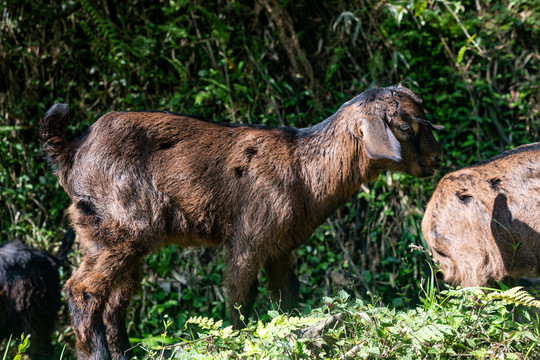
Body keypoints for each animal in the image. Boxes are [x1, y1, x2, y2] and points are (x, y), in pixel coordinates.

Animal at [41, 83, 442, 358]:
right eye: (404, 126)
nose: (437, 159)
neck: (303, 169)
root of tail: (71, 151)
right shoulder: (248, 238)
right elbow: (241, 298)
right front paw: (238, 343)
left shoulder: (280, 247)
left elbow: (288, 298)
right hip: (120, 227)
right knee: (82, 290)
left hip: (112, 235)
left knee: (114, 303)